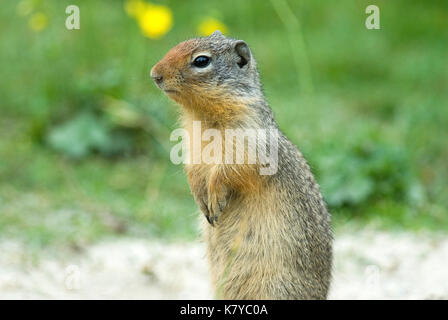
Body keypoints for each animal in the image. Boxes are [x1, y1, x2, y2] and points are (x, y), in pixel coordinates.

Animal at [150, 30, 332, 300]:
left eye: (201, 61)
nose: (154, 74)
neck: (203, 115)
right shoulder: (191, 148)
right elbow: (193, 170)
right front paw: (201, 198)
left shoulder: (249, 142)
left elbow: (230, 170)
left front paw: (215, 199)